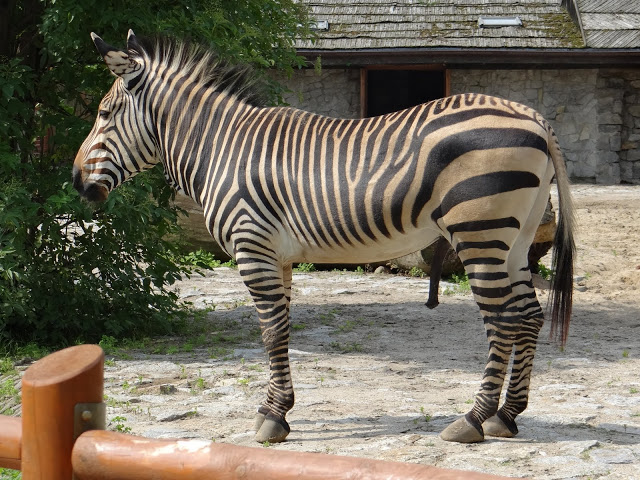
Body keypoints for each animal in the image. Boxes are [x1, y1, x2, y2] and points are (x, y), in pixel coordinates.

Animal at [73, 31, 575, 444]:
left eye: (103, 114)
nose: (76, 181)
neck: (219, 148)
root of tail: (534, 117)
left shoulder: (252, 247)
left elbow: (270, 330)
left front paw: (273, 419)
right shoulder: (277, 255)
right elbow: (280, 328)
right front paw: (277, 409)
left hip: (480, 234)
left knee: (503, 321)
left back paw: (472, 419)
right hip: (514, 238)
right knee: (529, 316)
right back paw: (507, 416)